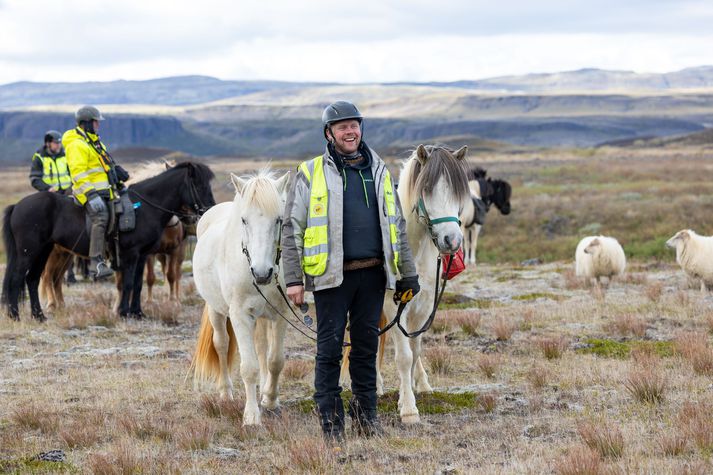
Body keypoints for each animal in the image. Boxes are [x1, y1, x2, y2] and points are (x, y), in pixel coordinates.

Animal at [2, 162, 214, 322]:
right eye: (200, 186)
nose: (209, 210)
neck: (143, 208)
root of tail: (18, 205)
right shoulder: (130, 254)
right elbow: (127, 284)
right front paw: (124, 313)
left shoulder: (143, 255)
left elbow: (138, 283)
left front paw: (138, 313)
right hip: (29, 252)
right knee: (18, 278)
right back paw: (15, 315)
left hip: (43, 251)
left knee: (33, 279)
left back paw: (39, 316)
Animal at [191, 171, 290, 428]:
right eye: (244, 220)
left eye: (279, 219)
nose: (262, 273)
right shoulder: (240, 315)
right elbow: (249, 367)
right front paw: (252, 416)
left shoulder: (282, 314)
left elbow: (275, 361)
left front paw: (271, 400)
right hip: (216, 310)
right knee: (221, 344)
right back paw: (225, 392)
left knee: (263, 348)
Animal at [386, 145, 470, 424]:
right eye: (427, 189)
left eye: (458, 191)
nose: (452, 241)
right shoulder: (393, 307)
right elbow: (403, 356)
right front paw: (409, 410)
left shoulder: (422, 307)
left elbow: (415, 351)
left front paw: (407, 394)